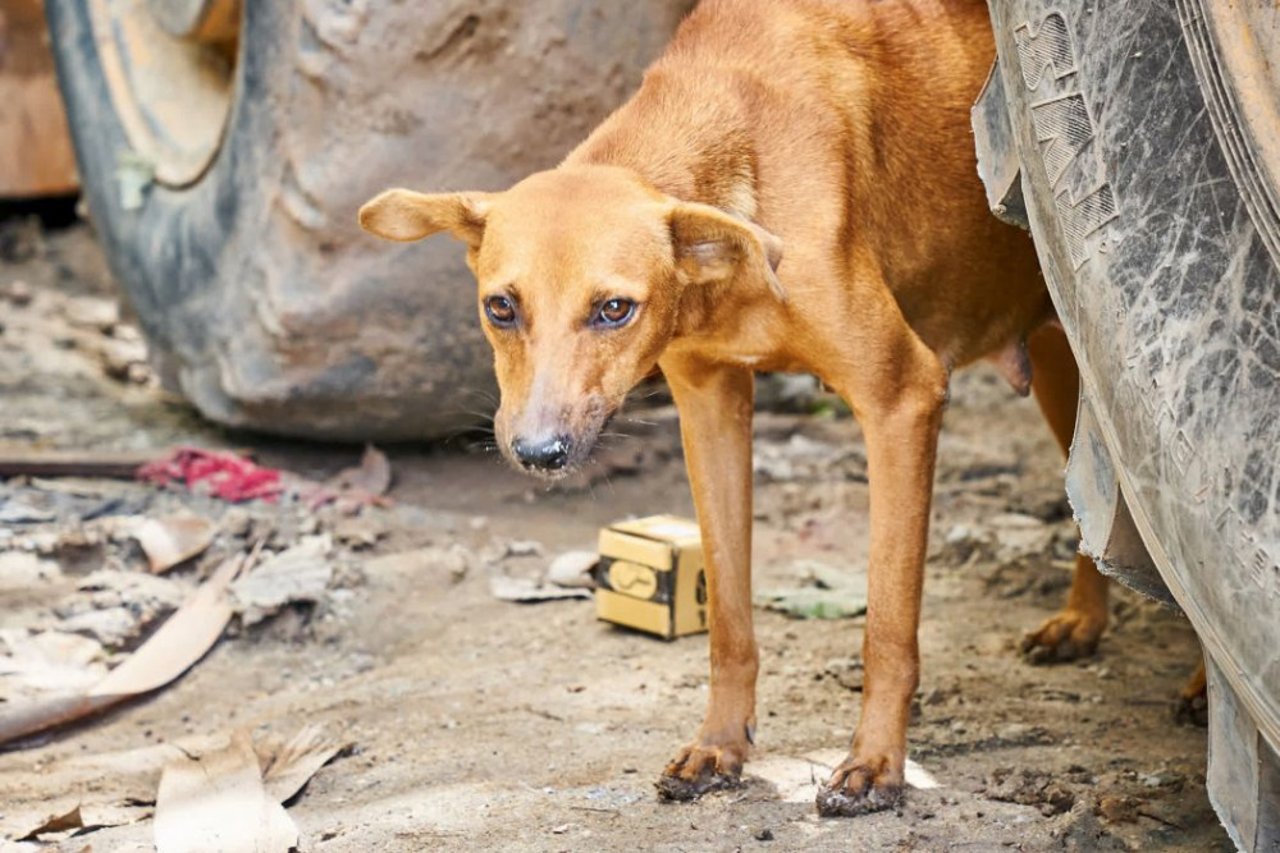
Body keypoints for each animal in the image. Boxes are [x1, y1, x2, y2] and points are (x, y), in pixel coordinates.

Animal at [360, 0, 1111, 814]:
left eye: (615, 308)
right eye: (500, 306)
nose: (537, 452)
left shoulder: (900, 399)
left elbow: (886, 626)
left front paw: (877, 763)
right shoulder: (710, 408)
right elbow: (727, 618)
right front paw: (721, 744)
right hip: (1061, 368)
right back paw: (1084, 620)